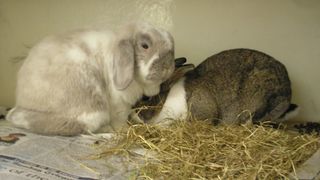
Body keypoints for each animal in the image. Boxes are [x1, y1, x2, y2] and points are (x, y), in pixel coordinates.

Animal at [6, 22, 175, 135]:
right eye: (145, 46)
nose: (167, 66)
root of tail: (23, 101)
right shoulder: (119, 104)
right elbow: (120, 119)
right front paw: (123, 130)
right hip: (93, 109)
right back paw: (107, 131)